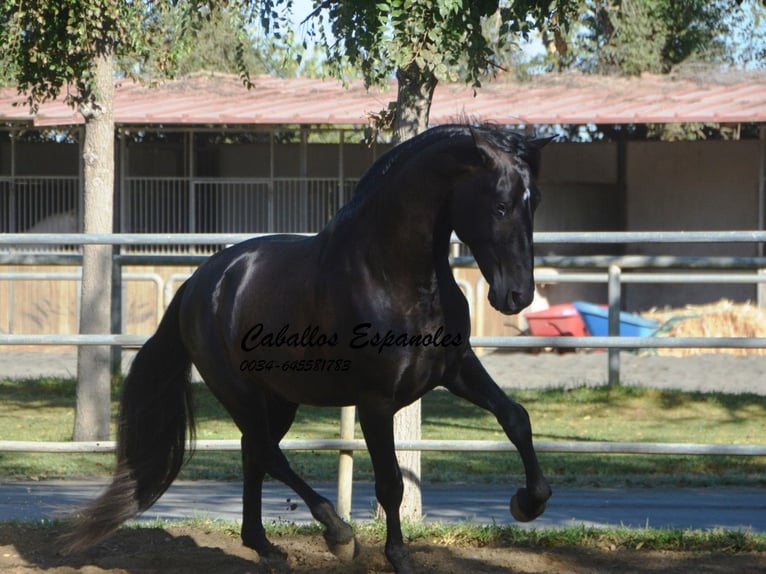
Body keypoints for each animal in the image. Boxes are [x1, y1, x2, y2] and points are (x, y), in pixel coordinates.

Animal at [61, 124, 552, 572]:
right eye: (501, 205)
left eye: (535, 204)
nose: (517, 296)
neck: (390, 276)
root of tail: (199, 284)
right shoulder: (375, 403)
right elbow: (391, 484)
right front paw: (397, 558)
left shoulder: (456, 369)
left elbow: (516, 418)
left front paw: (529, 502)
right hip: (239, 392)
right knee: (266, 452)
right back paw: (337, 534)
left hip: (278, 398)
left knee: (254, 453)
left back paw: (264, 545)